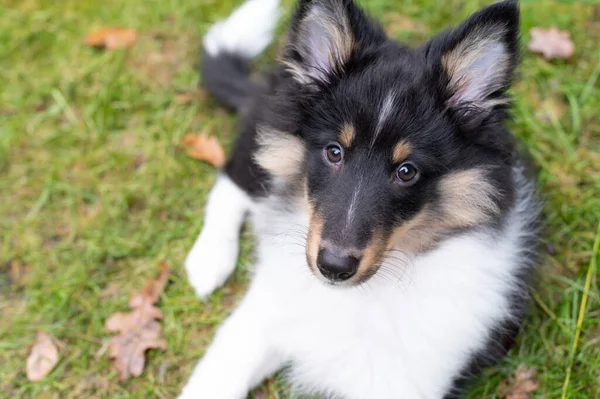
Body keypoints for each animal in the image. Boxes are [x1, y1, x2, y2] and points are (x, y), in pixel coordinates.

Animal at [178, 1, 540, 398]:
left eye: (407, 171)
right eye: (334, 152)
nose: (334, 267)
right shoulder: (263, 314)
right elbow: (217, 375)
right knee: (232, 179)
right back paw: (210, 260)